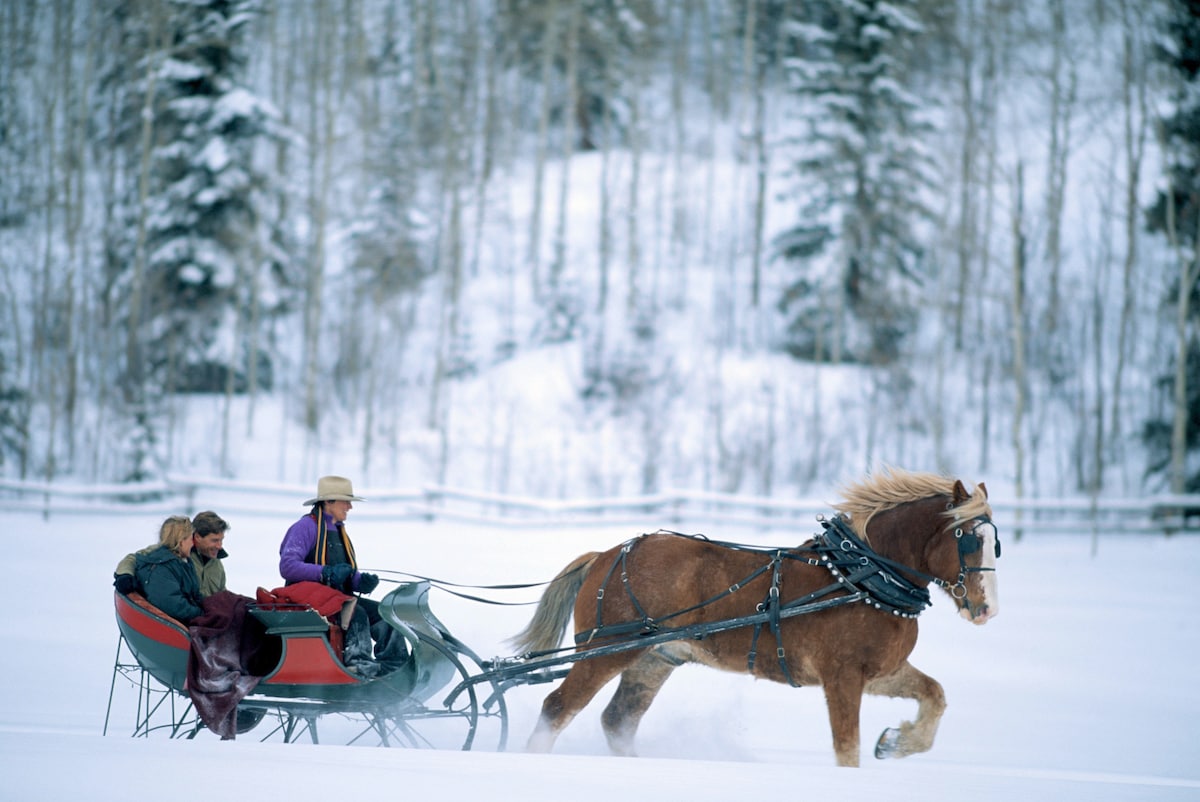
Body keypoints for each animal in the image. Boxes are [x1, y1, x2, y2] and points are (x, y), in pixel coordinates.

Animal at [511, 465, 998, 768]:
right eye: (967, 539)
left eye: (996, 543)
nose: (987, 609)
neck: (860, 575)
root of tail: (607, 555)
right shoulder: (842, 676)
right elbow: (847, 748)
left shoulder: (879, 671)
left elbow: (934, 695)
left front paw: (897, 742)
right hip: (607, 649)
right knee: (558, 707)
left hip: (653, 657)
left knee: (618, 722)